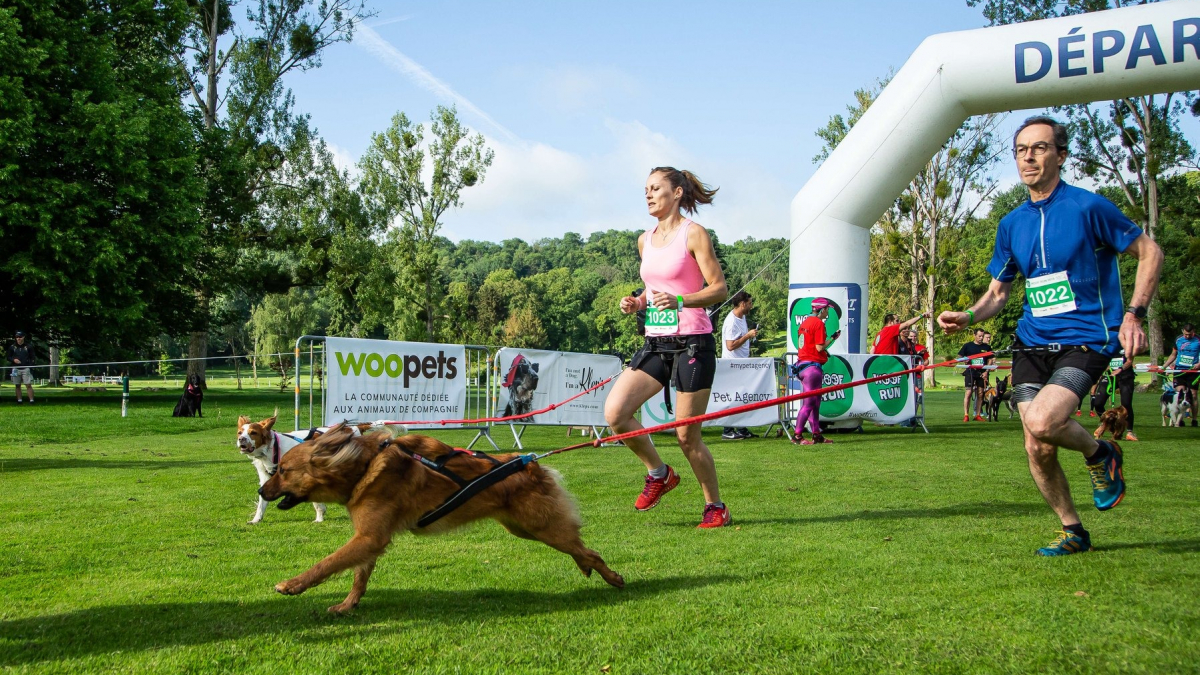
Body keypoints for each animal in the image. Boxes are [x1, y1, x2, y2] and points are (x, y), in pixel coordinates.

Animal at [258, 422, 624, 612]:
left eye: (285, 470)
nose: (261, 491)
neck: (362, 467)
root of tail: (531, 464)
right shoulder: (369, 538)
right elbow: (359, 575)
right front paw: (348, 605)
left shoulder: (368, 537)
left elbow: (327, 563)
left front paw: (292, 585)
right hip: (525, 529)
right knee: (580, 548)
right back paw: (587, 568)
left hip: (542, 527)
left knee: (588, 549)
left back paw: (611, 577)